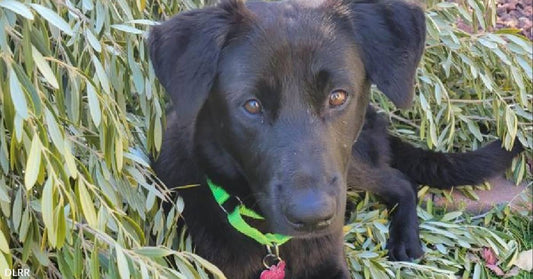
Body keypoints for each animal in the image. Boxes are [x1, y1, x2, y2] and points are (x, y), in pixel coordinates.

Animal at [148, 1, 520, 278]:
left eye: (337, 96)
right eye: (252, 105)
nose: (312, 217)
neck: (273, 241)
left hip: (351, 163)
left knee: (401, 182)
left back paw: (405, 240)